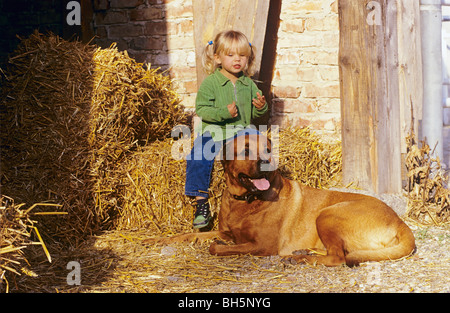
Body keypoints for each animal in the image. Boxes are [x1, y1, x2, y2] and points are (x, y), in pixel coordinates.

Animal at [147, 132, 414, 266]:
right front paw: (159, 239)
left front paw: (219, 246)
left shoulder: (263, 245)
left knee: (338, 258)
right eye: (245, 150)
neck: (244, 200)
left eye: (267, 148)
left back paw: (300, 258)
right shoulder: (226, 231)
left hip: (327, 214)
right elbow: (189, 235)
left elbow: (216, 248)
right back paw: (305, 252)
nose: (267, 161)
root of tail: (400, 222)